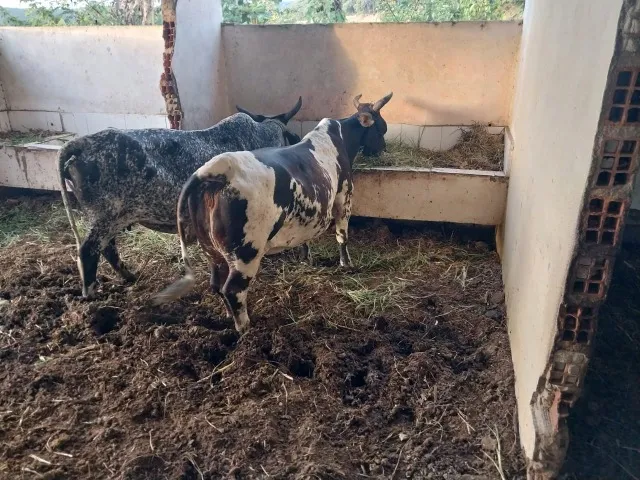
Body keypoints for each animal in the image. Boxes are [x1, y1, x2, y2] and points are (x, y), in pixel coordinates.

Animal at [58, 98, 303, 298]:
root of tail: (80, 143)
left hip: (109, 219)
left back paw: (129, 276)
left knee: (107, 248)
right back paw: (91, 293)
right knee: (89, 251)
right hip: (106, 217)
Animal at [152, 92, 393, 333]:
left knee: (216, 285)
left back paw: (230, 316)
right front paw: (346, 264)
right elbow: (342, 236)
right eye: (381, 128)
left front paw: (306, 258)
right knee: (233, 290)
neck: (338, 138)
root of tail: (215, 169)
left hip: (212, 251)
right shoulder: (344, 196)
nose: (382, 149)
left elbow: (305, 238)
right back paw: (246, 328)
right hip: (246, 253)